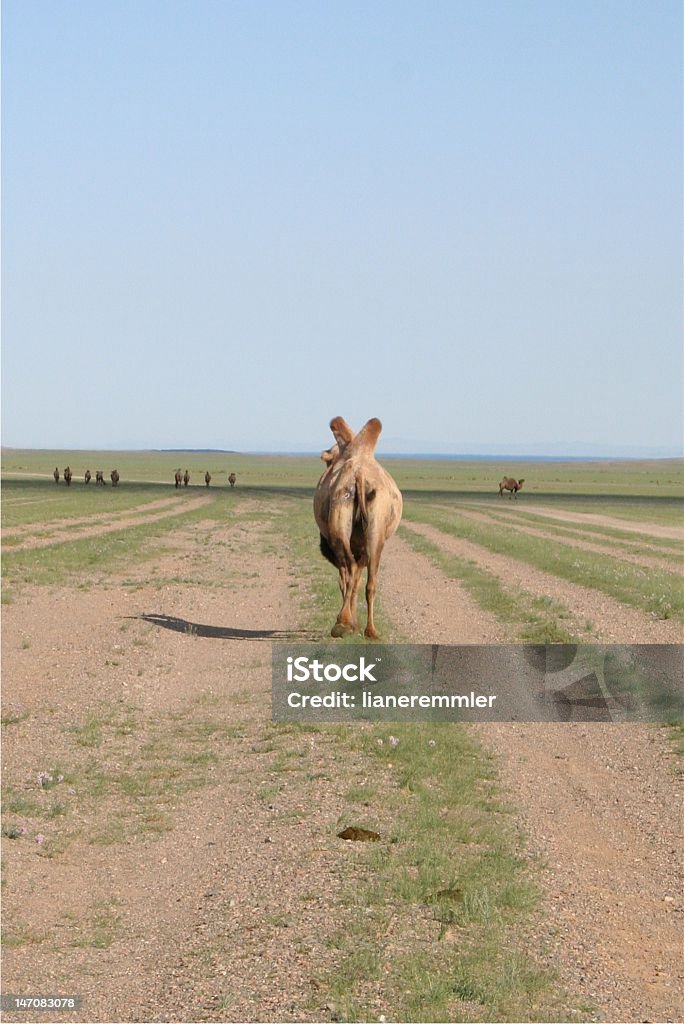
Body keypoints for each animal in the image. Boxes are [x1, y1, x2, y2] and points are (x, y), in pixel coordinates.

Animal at [313, 417, 403, 638]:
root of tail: (359, 476)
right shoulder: (360, 547)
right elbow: (355, 581)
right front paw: (354, 623)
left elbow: (344, 580)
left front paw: (351, 622)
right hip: (376, 528)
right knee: (370, 580)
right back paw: (369, 630)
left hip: (340, 523)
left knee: (350, 569)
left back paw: (343, 623)